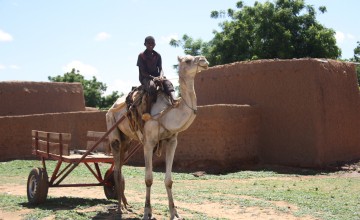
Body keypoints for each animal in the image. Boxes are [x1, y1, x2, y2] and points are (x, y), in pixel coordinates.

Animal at [105, 54, 210, 218]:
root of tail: (112, 105)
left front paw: (175, 213)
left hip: (126, 140)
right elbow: (148, 179)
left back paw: (127, 205)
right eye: (187, 60)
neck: (167, 113)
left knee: (120, 167)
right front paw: (147, 212)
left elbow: (169, 180)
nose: (204, 60)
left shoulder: (172, 141)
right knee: (116, 169)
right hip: (113, 131)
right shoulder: (149, 143)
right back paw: (119, 208)